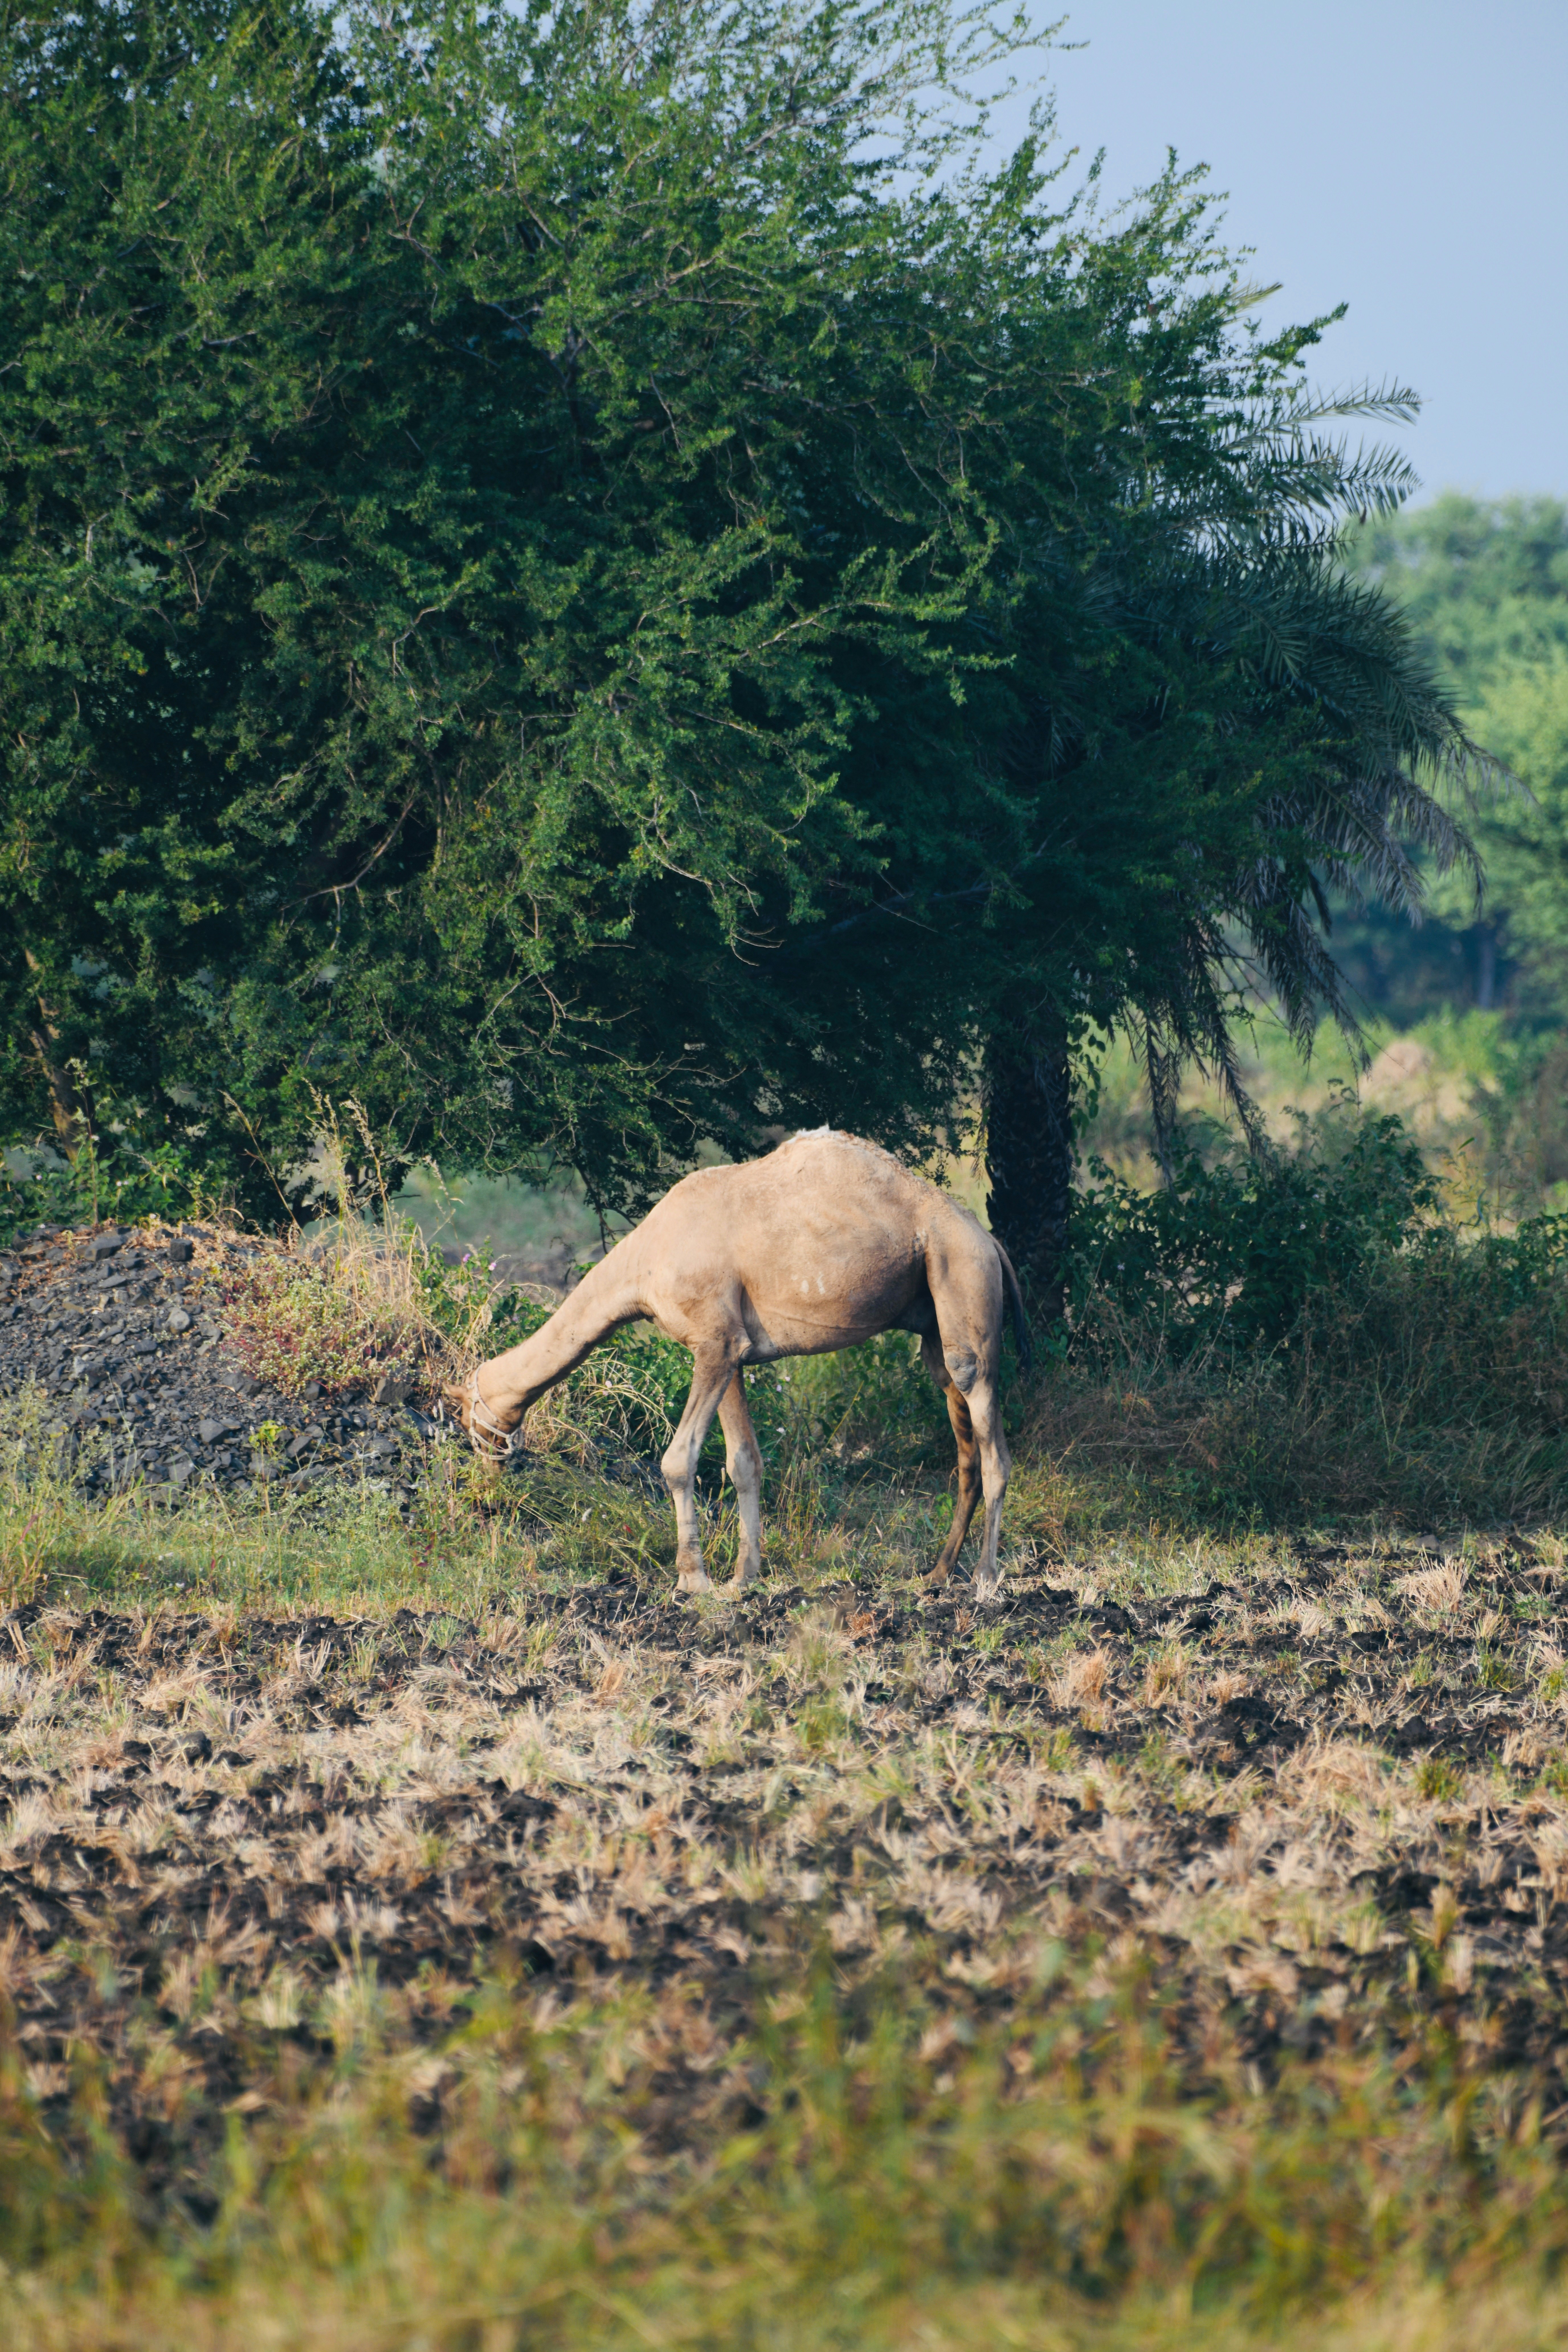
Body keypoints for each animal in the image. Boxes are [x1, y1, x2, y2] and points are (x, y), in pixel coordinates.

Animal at [445, 1129, 1030, 1599]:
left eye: (470, 1421)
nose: (484, 1494)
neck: (643, 1264)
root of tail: (990, 1241)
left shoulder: (713, 1341)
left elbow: (678, 1460)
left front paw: (693, 1579)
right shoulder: (730, 1351)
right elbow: (743, 1462)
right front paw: (742, 1578)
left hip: (964, 1282)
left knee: (993, 1445)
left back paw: (984, 1580)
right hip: (935, 1323)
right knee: (964, 1448)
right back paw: (935, 1574)